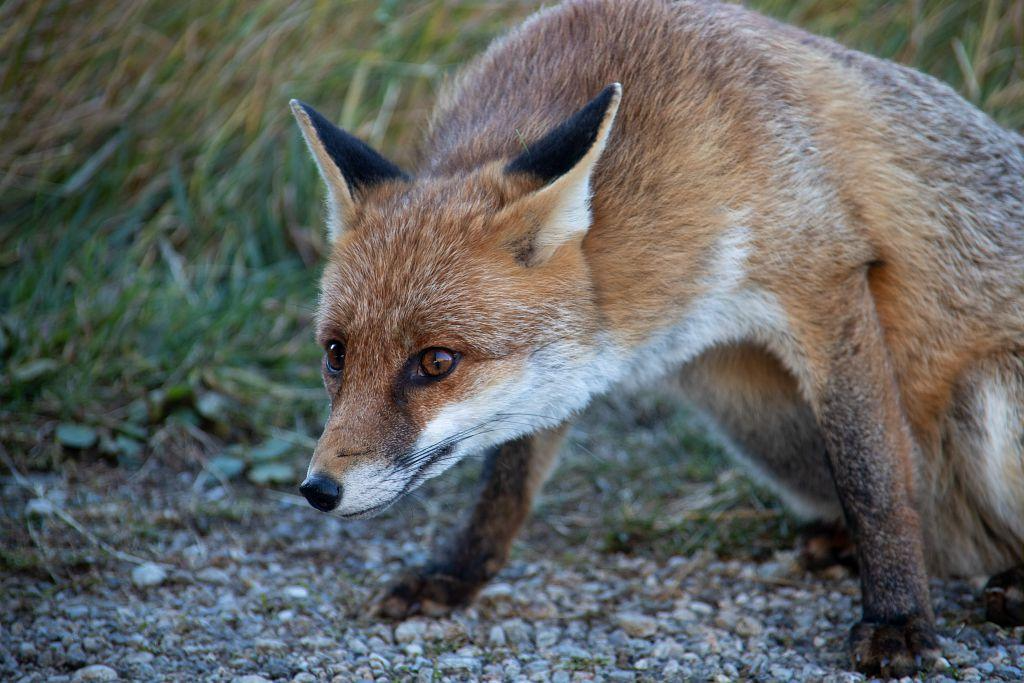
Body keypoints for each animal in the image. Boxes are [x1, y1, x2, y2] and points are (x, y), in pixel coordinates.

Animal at [286, 0, 1024, 675]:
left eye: (436, 361)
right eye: (336, 354)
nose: (319, 490)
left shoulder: (826, 282)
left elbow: (874, 482)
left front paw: (897, 619)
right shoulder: (564, 365)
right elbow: (508, 480)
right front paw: (459, 571)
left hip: (986, 399)